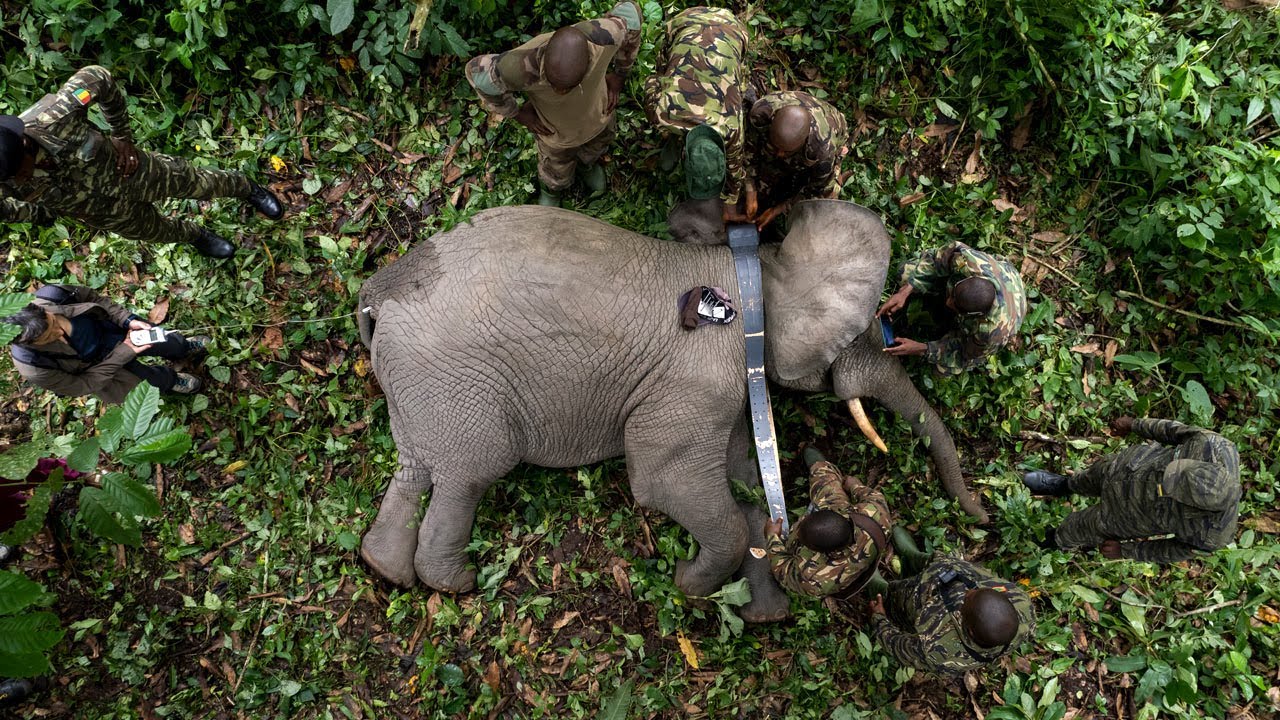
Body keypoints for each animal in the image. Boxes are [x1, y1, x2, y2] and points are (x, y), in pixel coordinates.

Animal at [356, 199, 987, 620]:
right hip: (458, 380)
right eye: (862, 333)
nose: (983, 518)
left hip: (420, 382)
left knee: (417, 468)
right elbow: (665, 482)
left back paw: (386, 568)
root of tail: (378, 291)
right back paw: (454, 584)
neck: (754, 268)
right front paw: (690, 585)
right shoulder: (697, 375)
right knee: (472, 472)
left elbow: (742, 481)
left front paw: (763, 613)